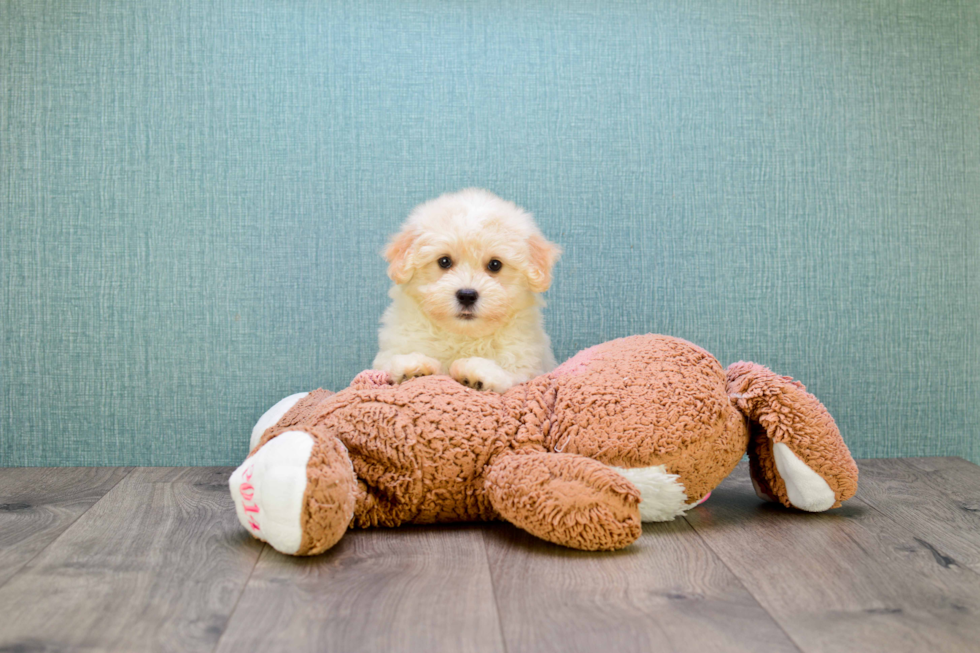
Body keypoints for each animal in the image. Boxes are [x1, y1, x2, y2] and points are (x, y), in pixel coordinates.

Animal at [374, 188, 564, 392]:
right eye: (444, 261)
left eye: (495, 265)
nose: (467, 295)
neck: (463, 335)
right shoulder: (394, 347)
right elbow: (391, 362)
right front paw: (413, 367)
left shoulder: (527, 365)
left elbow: (509, 377)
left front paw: (476, 373)